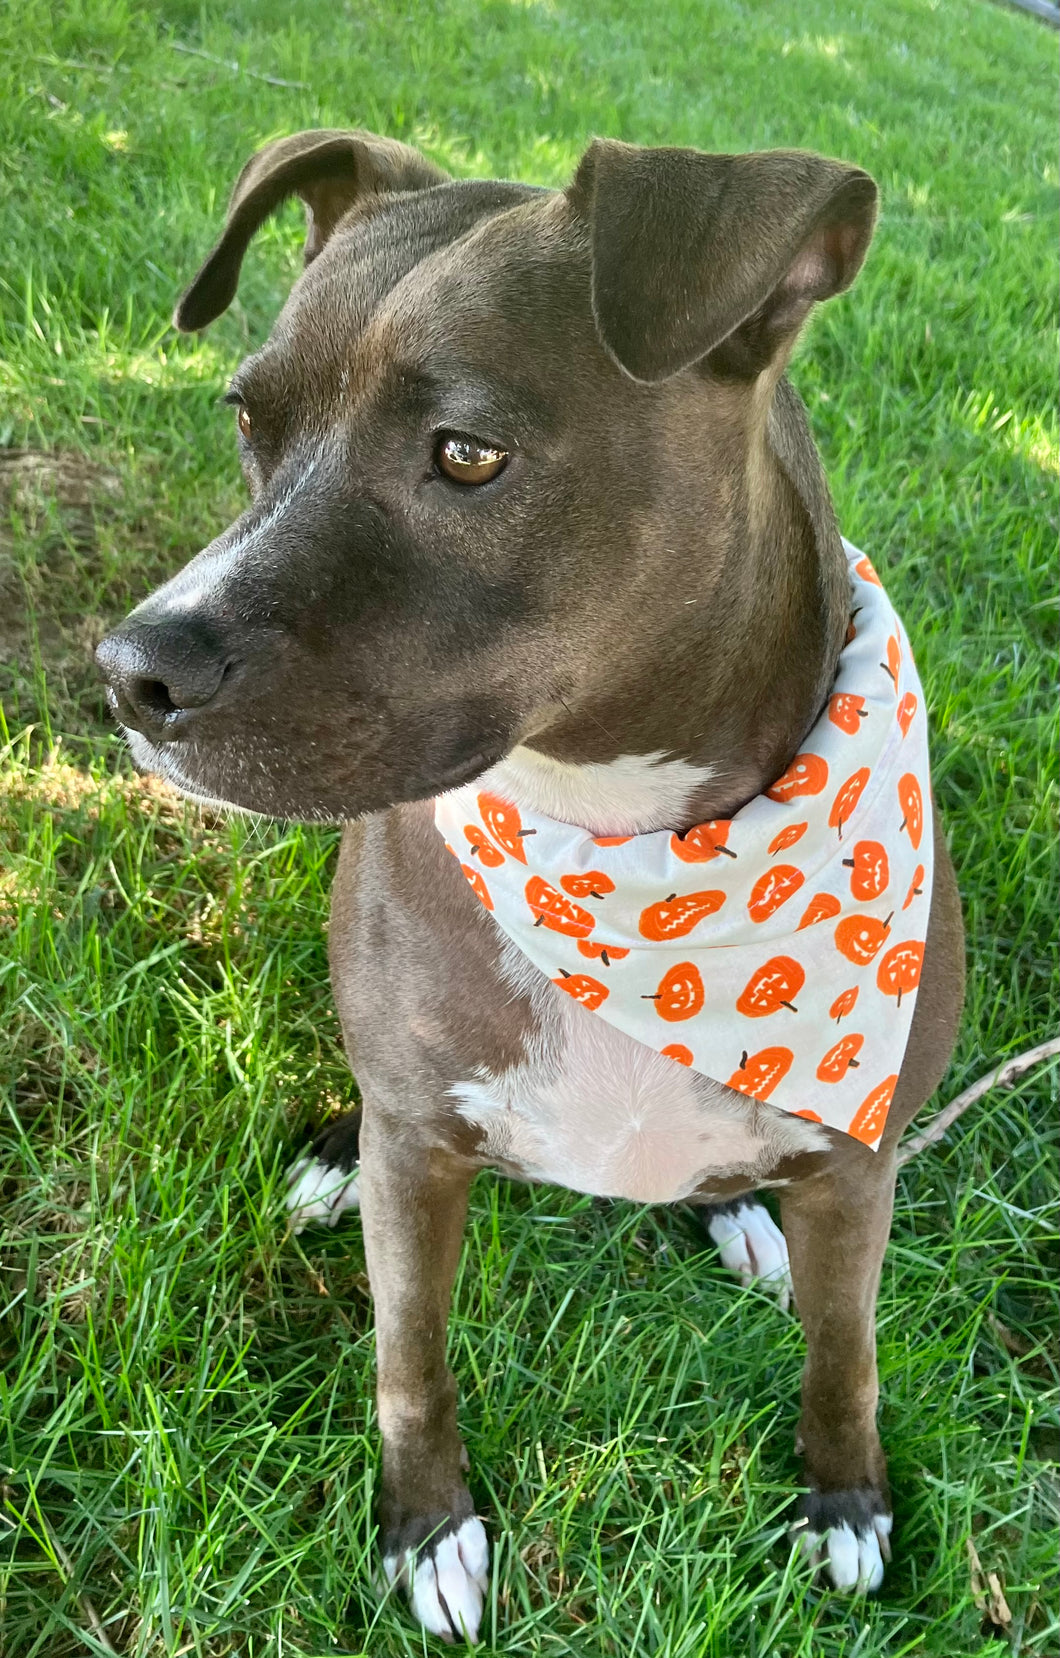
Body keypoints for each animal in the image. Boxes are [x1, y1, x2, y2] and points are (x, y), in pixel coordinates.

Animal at [95, 132, 968, 1644]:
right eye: (247, 419)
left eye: (467, 453)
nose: (134, 669)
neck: (627, 869)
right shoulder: (422, 1153)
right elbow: (408, 1354)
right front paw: (425, 1527)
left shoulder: (863, 1165)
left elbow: (844, 1349)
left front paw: (845, 1497)